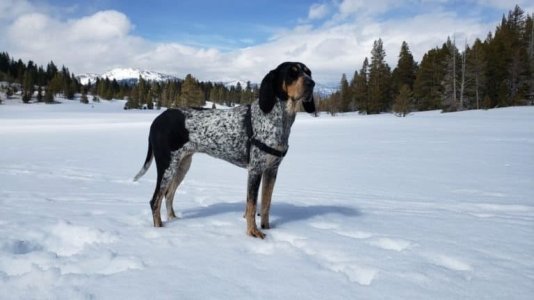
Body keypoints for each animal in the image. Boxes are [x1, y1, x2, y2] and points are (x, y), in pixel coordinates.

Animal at [134, 61, 316, 239]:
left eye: (308, 72)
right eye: (292, 73)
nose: (312, 83)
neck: (279, 120)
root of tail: (157, 120)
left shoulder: (272, 170)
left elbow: (265, 204)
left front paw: (268, 228)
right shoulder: (255, 170)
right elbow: (251, 206)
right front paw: (253, 232)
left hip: (182, 166)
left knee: (168, 194)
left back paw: (174, 220)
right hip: (167, 166)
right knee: (155, 200)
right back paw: (159, 230)